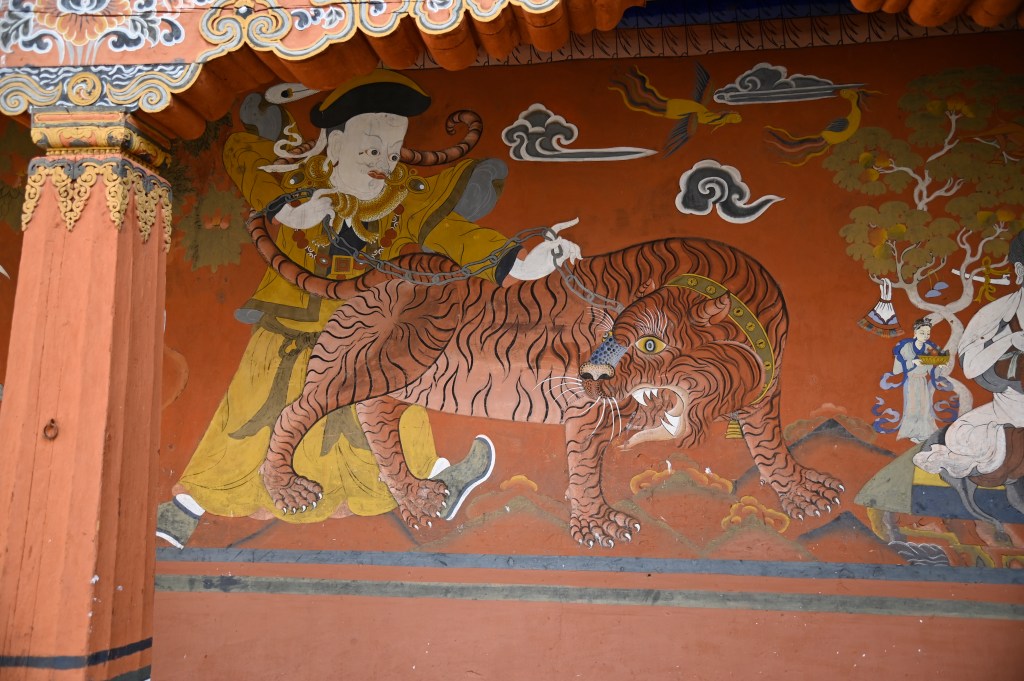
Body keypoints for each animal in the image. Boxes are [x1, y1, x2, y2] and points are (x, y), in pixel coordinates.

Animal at [246, 212, 843, 547]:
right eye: (614, 333)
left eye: (649, 344)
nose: (589, 373)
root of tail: (391, 268)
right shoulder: (588, 409)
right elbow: (584, 466)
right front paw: (598, 525)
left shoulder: (766, 392)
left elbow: (770, 445)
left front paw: (803, 491)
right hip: (378, 360)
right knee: (297, 411)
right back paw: (287, 488)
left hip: (403, 377)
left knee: (374, 418)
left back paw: (415, 498)